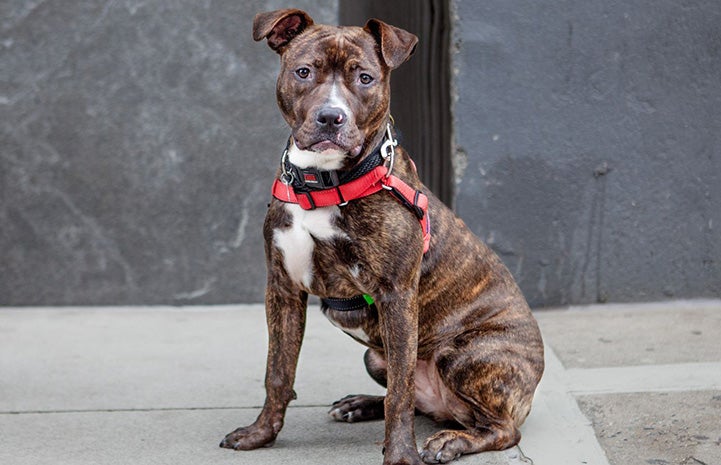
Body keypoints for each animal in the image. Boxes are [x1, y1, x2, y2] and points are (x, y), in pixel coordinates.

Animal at [218, 8, 540, 464]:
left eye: (366, 78)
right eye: (304, 72)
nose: (330, 117)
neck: (323, 182)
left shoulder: (396, 296)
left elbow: (399, 396)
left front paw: (401, 455)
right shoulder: (282, 289)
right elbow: (277, 372)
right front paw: (260, 434)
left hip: (466, 356)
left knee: (500, 428)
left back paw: (452, 441)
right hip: (375, 356)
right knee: (415, 397)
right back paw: (359, 405)